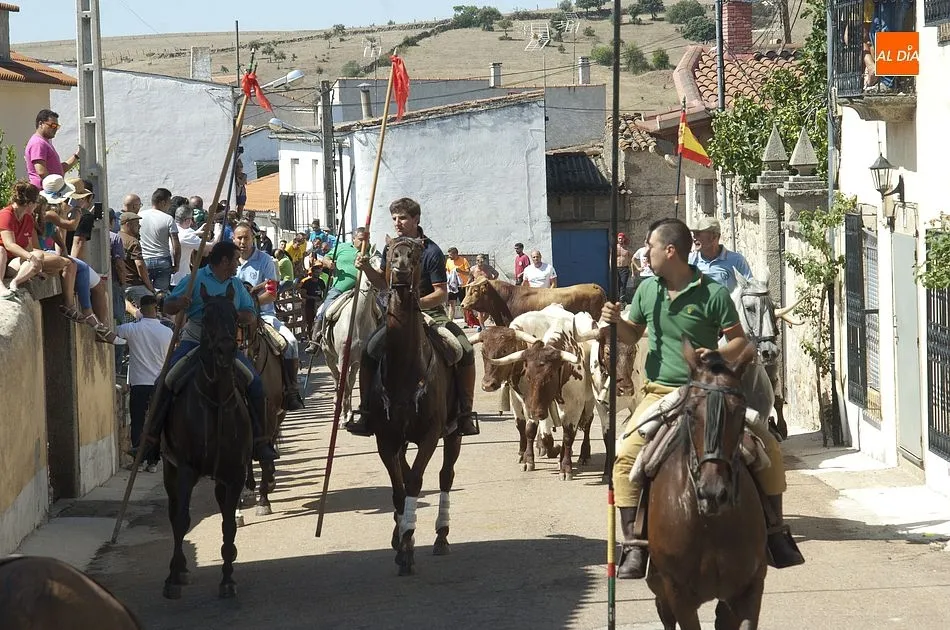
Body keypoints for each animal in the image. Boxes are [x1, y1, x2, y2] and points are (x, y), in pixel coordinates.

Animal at [161, 285, 252, 599]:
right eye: (207, 316)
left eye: (235, 316)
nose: (226, 350)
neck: (215, 401)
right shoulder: (186, 469)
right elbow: (181, 519)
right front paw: (173, 578)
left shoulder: (235, 474)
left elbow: (228, 524)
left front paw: (228, 579)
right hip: (170, 469)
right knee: (174, 512)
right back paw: (178, 570)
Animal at [362, 236, 463, 576]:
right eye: (391, 252)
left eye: (417, 255)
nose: (401, 270)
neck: (406, 369)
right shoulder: (386, 439)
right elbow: (399, 486)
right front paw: (401, 539)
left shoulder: (430, 435)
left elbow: (416, 481)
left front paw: (407, 545)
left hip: (454, 433)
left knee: (446, 476)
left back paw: (441, 535)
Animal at [488, 305, 598, 480]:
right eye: (527, 375)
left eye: (550, 375)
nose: (535, 412)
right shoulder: (533, 403)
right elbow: (531, 430)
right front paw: (529, 460)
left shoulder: (574, 406)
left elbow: (569, 435)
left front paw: (566, 468)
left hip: (589, 401)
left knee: (587, 422)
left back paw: (584, 455)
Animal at [645, 339, 767, 630]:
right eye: (690, 411)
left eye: (741, 411)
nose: (713, 494)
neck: (710, 524)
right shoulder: (677, 594)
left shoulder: (751, 588)